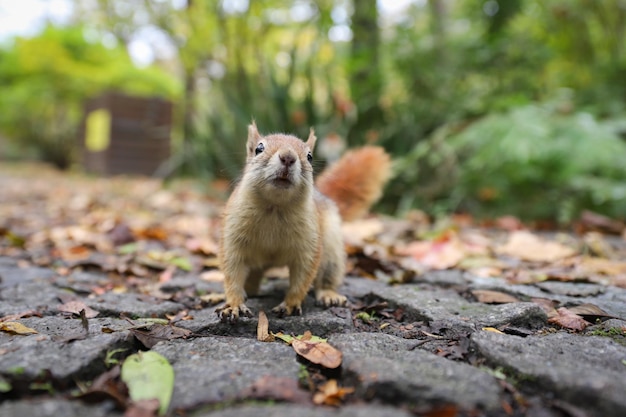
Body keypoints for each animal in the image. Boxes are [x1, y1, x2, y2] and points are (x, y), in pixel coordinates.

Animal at [217, 122, 388, 320]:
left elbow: (303, 277)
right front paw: (234, 305)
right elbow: (232, 273)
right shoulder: (233, 238)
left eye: (310, 156)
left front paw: (290, 305)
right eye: (259, 149)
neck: (275, 207)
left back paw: (329, 295)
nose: (288, 157)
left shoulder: (309, 244)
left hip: (331, 251)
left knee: (326, 277)